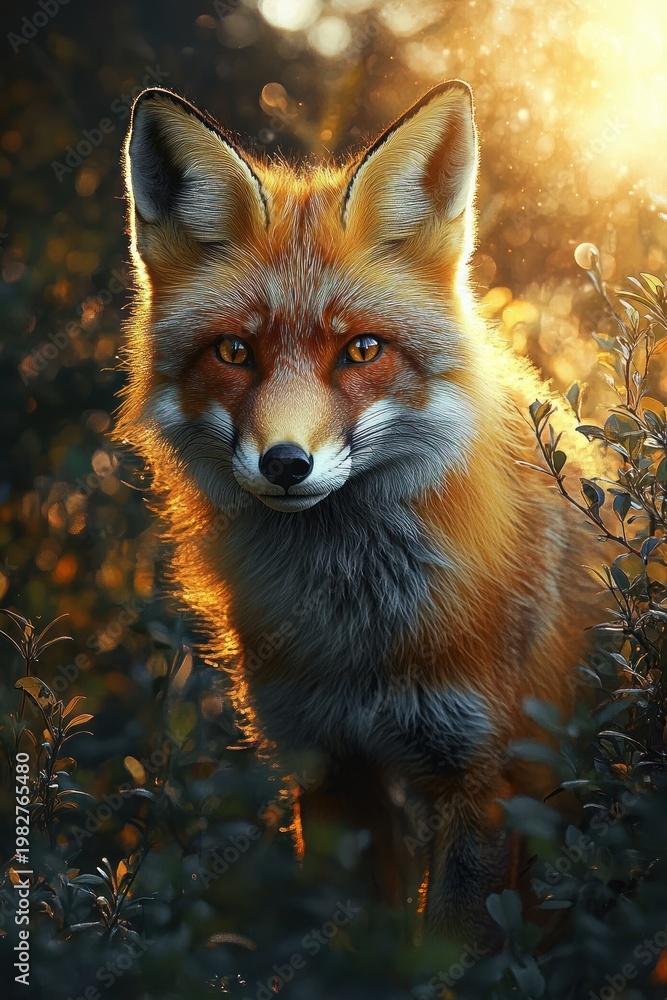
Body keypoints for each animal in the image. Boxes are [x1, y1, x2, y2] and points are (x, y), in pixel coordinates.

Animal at [117, 80, 595, 942]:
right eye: (234, 352)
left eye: (362, 351)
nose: (285, 464)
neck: (358, 630)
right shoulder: (326, 762)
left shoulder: (481, 771)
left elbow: (451, 944)